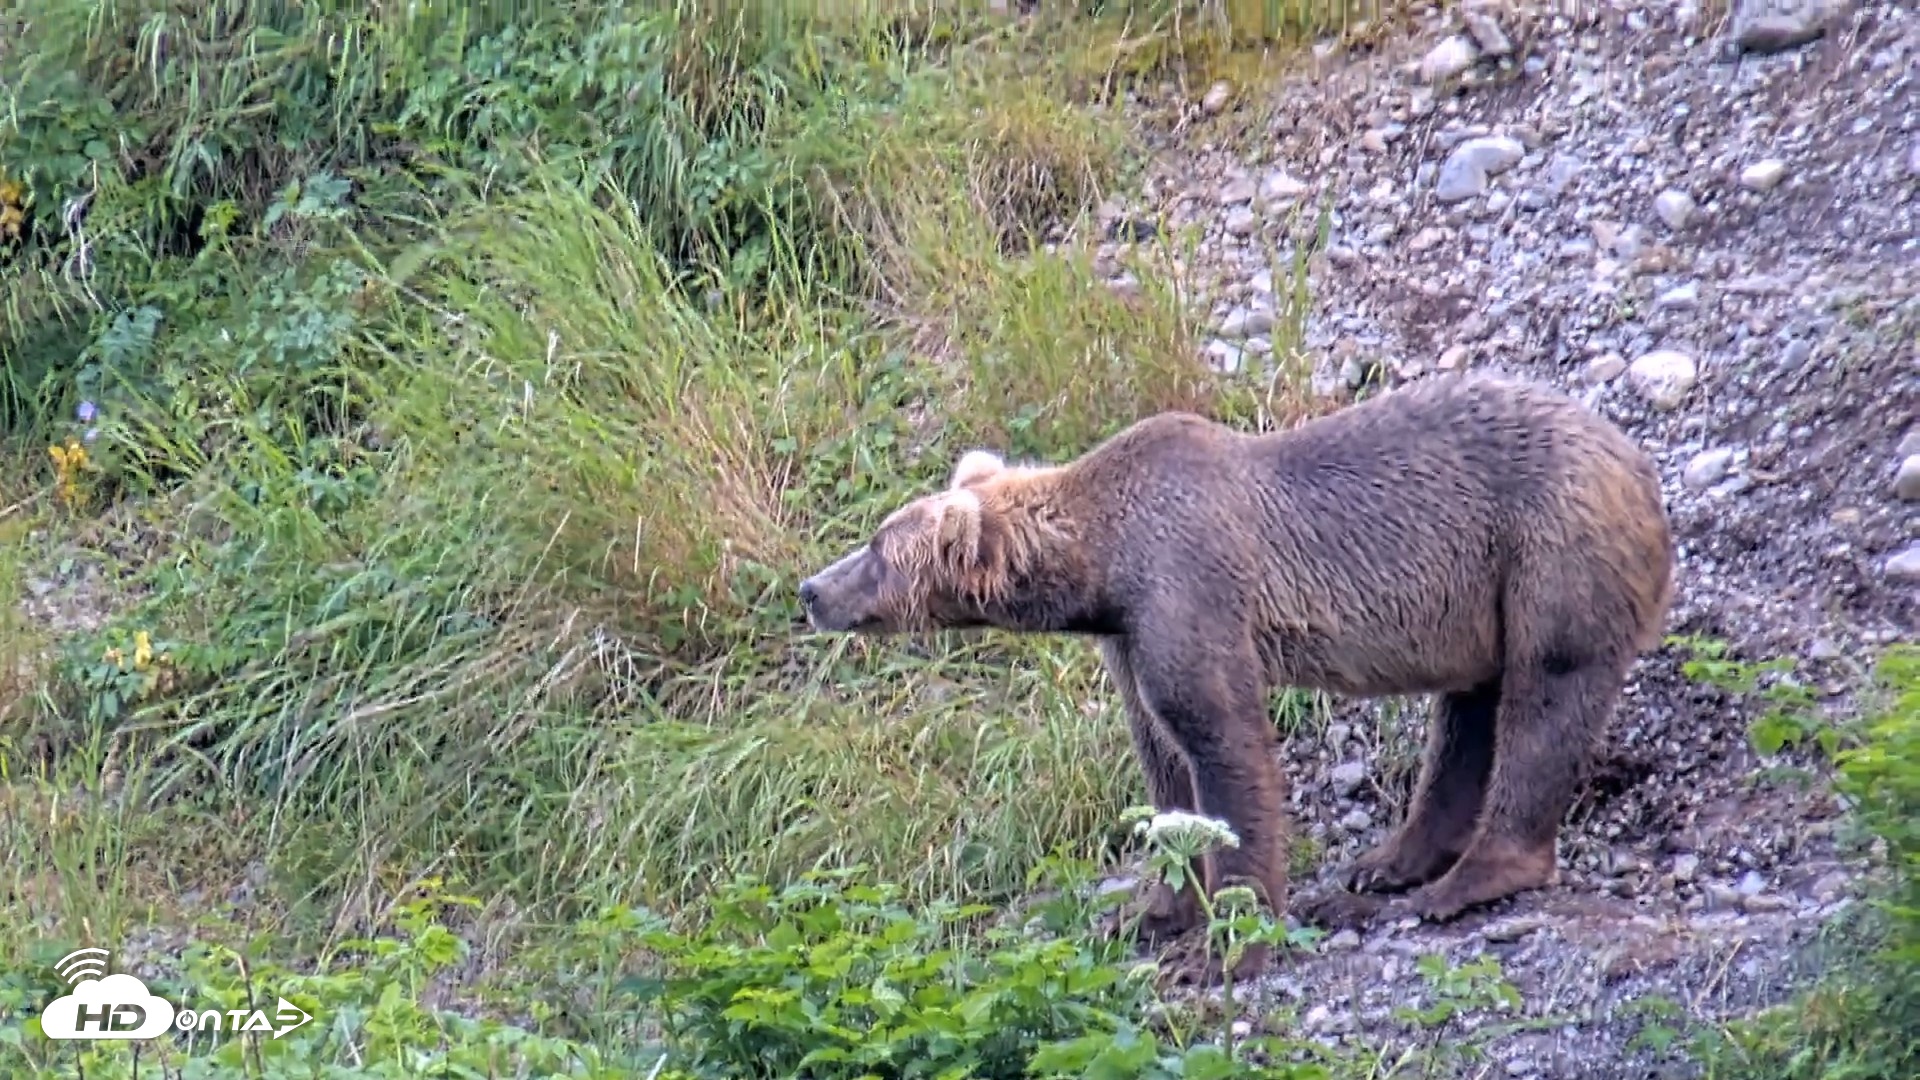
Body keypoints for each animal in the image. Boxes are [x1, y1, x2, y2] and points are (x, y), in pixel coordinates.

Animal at [797, 371, 1676, 985]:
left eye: (877, 548)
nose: (810, 588)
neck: (1100, 568)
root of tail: (1639, 462)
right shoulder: (1129, 636)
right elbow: (1163, 763)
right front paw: (1151, 912)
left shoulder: (1186, 585)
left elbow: (1223, 744)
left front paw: (1225, 947)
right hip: (1476, 595)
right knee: (1466, 715)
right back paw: (1391, 861)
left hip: (1548, 543)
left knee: (1546, 692)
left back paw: (1462, 881)